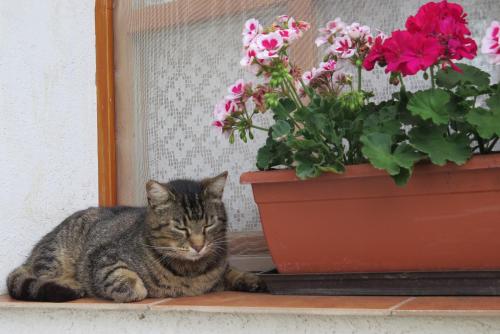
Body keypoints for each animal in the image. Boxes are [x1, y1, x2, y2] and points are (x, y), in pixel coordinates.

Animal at [6, 172, 266, 302]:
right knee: (40, 274)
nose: (198, 246)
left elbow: (230, 271)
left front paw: (250, 279)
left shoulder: (220, 264)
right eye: (180, 227)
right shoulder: (104, 258)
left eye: (208, 224)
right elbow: (126, 280)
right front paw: (138, 288)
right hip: (56, 254)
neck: (191, 272)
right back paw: (70, 284)